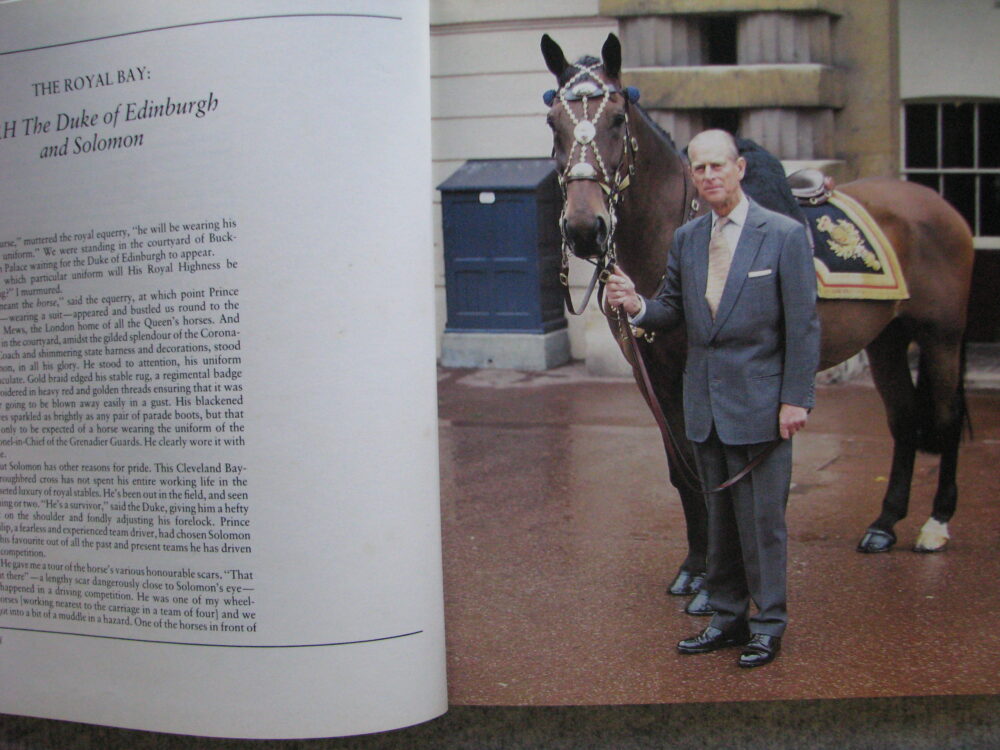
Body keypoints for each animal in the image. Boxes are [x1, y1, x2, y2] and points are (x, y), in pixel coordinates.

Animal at [540, 33, 974, 601]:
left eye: (616, 119)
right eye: (554, 124)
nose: (585, 228)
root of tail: (938, 204)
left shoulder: (696, 373)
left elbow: (716, 470)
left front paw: (721, 579)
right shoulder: (651, 374)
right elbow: (683, 470)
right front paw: (694, 568)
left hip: (942, 337)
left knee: (944, 420)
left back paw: (936, 525)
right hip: (887, 339)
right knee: (903, 420)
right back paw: (884, 525)